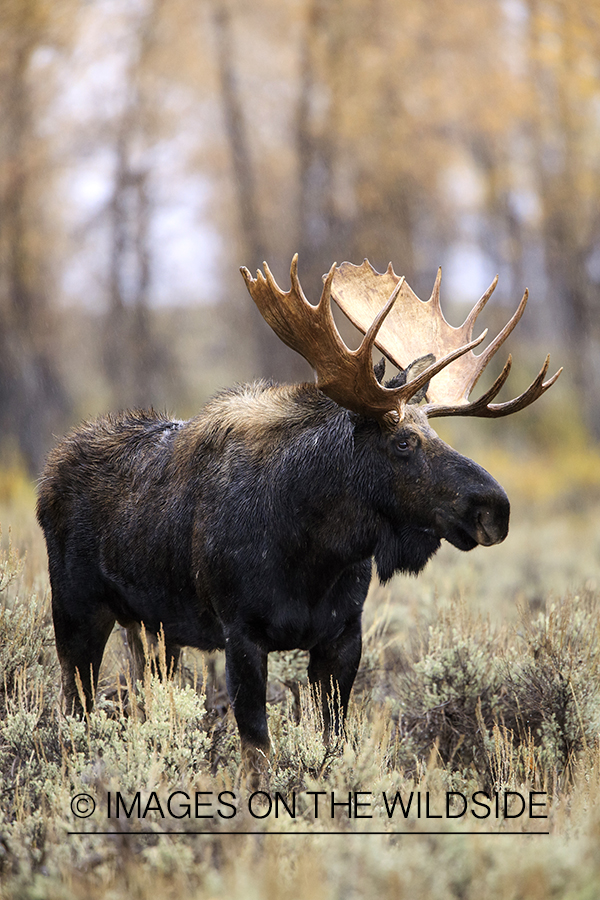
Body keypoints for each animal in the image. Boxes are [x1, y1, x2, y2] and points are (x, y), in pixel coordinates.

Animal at [37, 253, 560, 780]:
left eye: (435, 434)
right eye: (403, 442)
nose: (495, 508)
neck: (313, 552)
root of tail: (51, 470)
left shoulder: (342, 636)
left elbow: (332, 744)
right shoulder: (242, 635)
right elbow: (258, 754)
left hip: (152, 628)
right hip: (78, 612)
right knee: (74, 711)